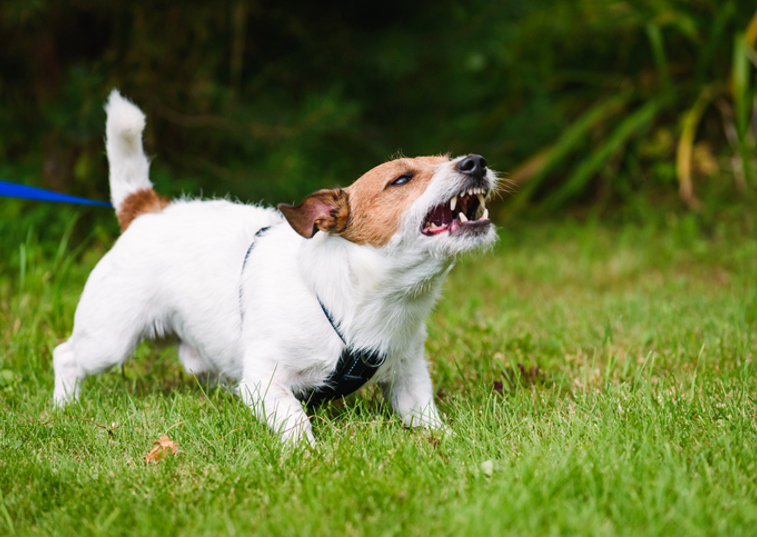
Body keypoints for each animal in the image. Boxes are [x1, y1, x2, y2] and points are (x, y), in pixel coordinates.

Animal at [54, 91, 502, 444]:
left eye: (448, 159)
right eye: (401, 179)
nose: (476, 162)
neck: (362, 299)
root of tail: (147, 209)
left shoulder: (409, 375)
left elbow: (425, 415)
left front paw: (448, 442)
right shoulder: (264, 381)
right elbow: (294, 418)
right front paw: (307, 454)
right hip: (109, 339)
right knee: (66, 355)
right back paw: (63, 406)